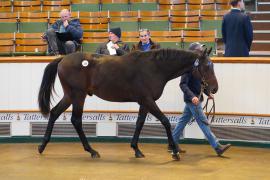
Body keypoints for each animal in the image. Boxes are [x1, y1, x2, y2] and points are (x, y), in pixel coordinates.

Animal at [38, 47, 218, 160]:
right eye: (206, 67)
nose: (214, 89)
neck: (154, 68)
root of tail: (63, 58)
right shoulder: (147, 100)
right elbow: (165, 121)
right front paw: (174, 151)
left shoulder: (144, 102)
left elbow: (139, 123)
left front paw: (136, 149)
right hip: (78, 95)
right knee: (75, 119)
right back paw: (92, 151)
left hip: (70, 95)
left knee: (55, 113)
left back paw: (42, 146)